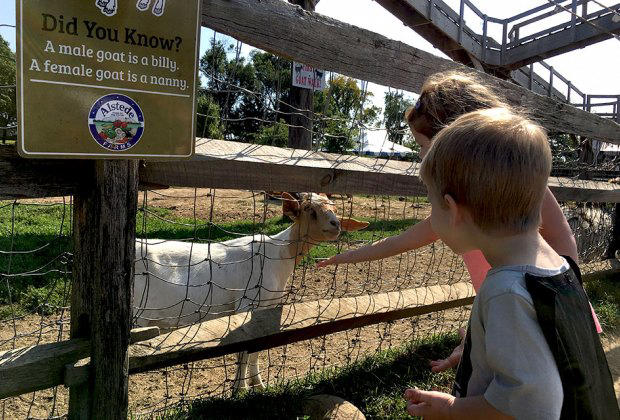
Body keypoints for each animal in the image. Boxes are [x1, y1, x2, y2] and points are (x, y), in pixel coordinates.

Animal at [133, 194, 366, 394]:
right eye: (309, 209)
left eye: (334, 208)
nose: (335, 225)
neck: (278, 255)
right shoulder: (247, 305)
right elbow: (243, 350)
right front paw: (240, 388)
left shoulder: (267, 307)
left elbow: (256, 349)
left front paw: (259, 384)